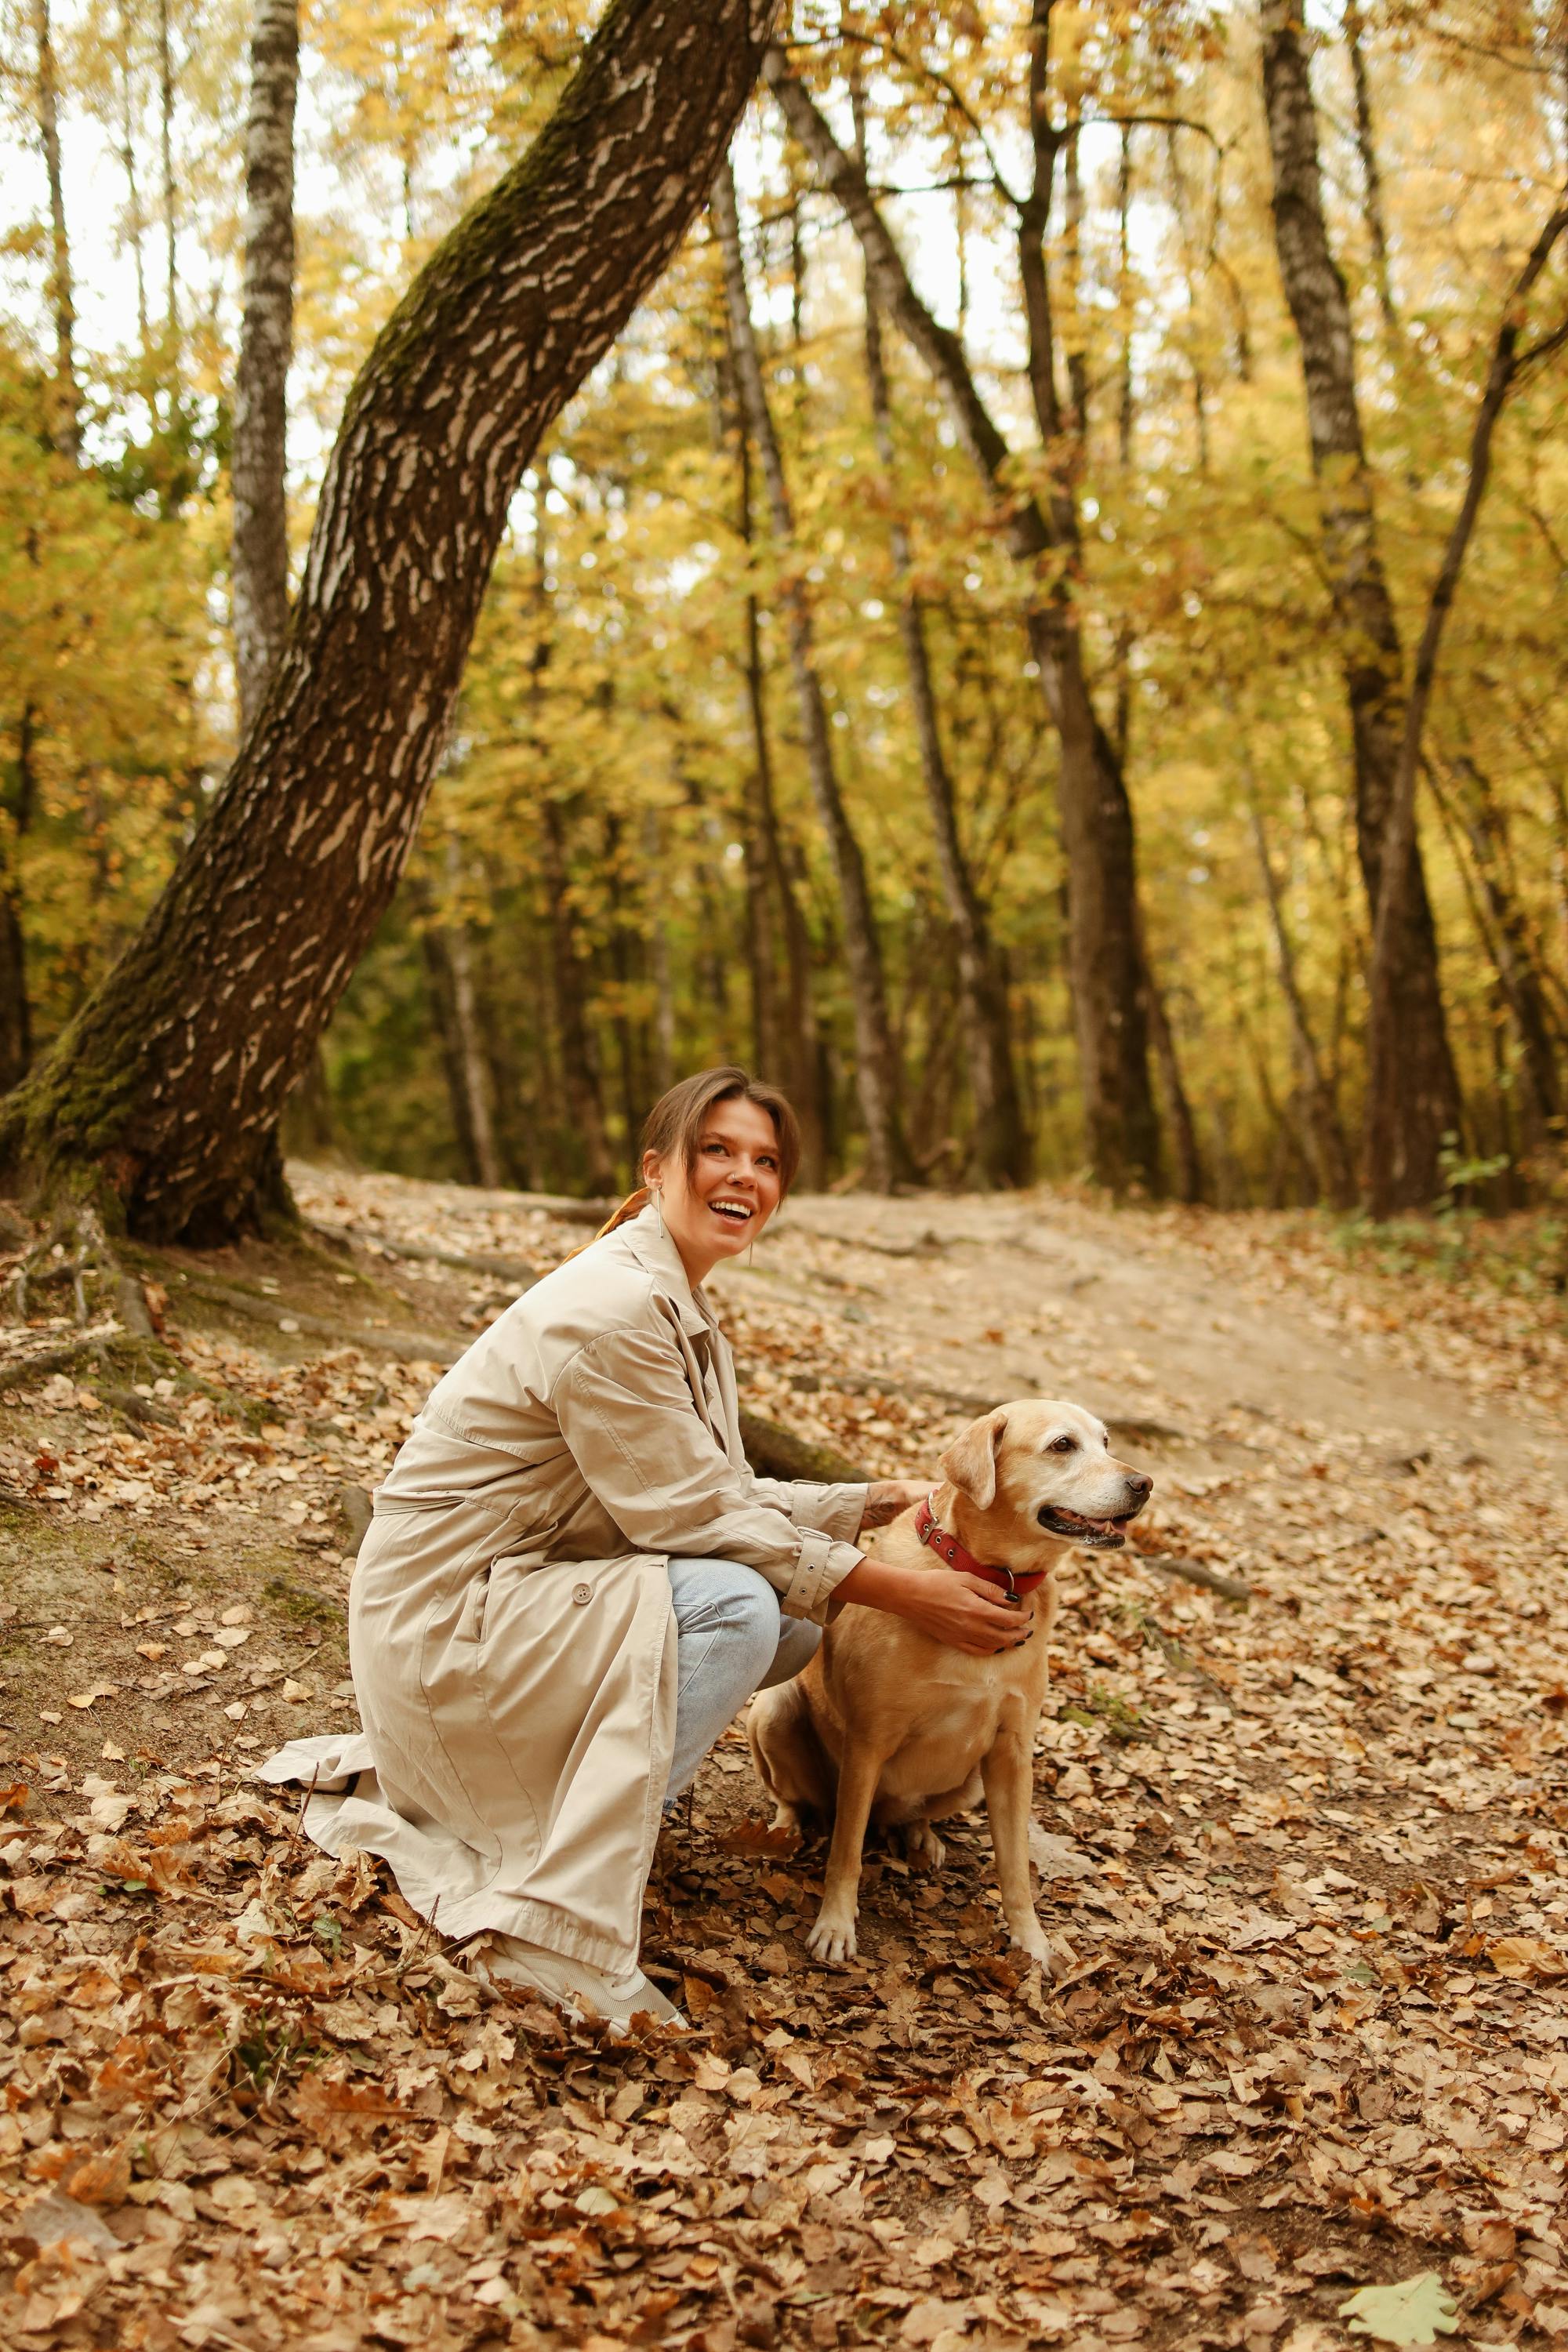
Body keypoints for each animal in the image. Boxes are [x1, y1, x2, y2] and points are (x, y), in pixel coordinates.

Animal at [747, 1411, 1152, 1966]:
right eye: (1062, 1445)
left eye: (1107, 1442)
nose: (1144, 1484)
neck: (998, 1578)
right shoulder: (868, 1742)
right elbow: (846, 1851)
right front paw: (835, 1924)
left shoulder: (1012, 1751)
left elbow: (1015, 1865)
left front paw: (1031, 1943)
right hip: (775, 1710)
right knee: (797, 1800)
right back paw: (785, 1828)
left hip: (972, 1779)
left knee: (911, 1816)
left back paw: (922, 1836)